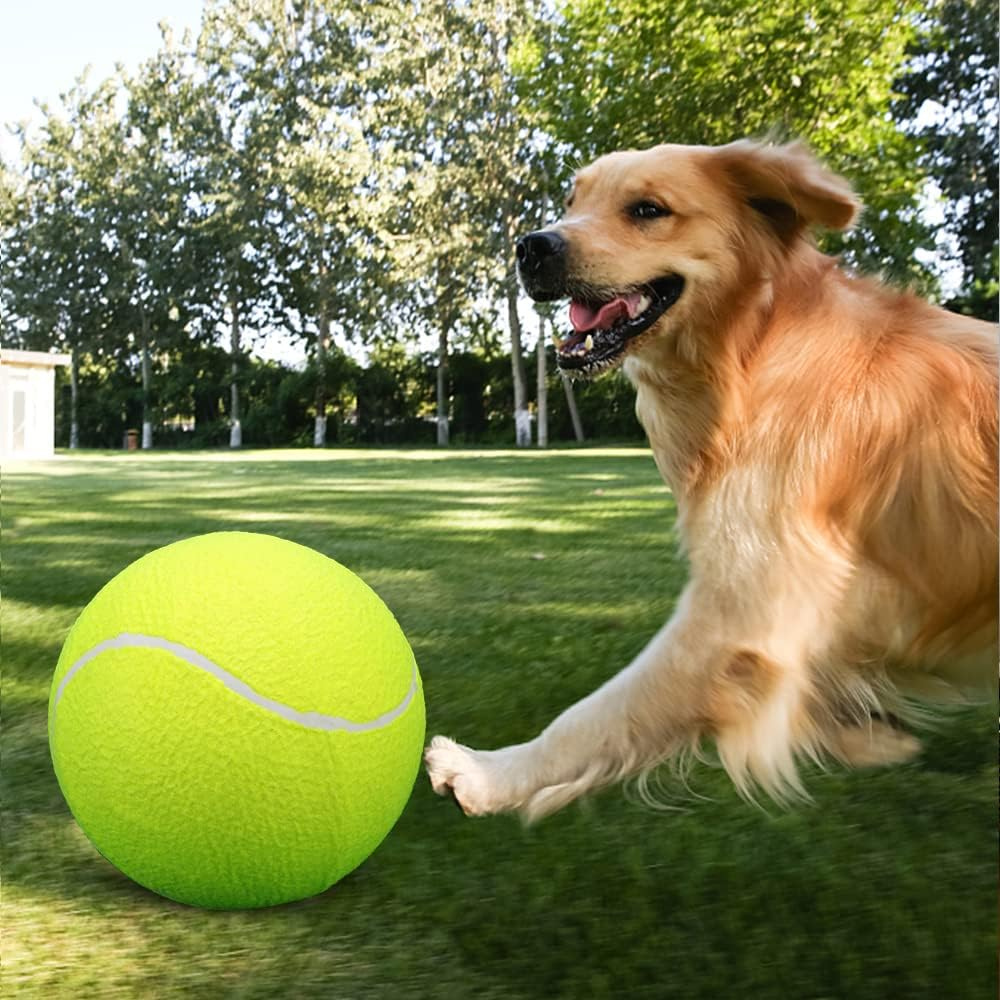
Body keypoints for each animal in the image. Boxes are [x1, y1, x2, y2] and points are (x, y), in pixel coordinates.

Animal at [424, 141, 1000, 820]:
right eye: (572, 201)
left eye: (648, 209)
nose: (531, 247)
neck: (752, 347)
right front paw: (871, 735)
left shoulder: (743, 607)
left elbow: (596, 715)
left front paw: (487, 775)